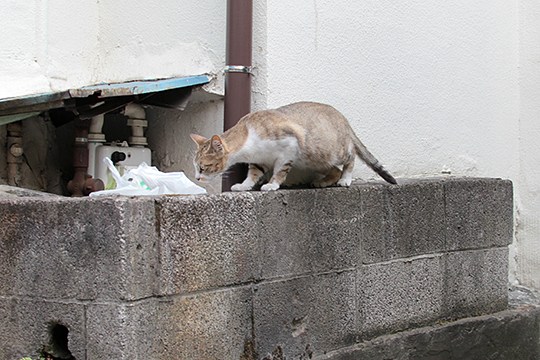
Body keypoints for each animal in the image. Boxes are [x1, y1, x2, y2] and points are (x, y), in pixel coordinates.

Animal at [190, 101, 396, 191]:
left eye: (203, 167)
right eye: (195, 167)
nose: (197, 177)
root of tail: (343, 119)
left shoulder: (288, 148)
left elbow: (279, 171)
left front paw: (272, 185)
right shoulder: (259, 159)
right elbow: (253, 174)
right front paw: (244, 185)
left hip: (332, 150)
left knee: (350, 156)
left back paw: (345, 179)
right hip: (316, 160)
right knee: (334, 169)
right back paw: (322, 182)